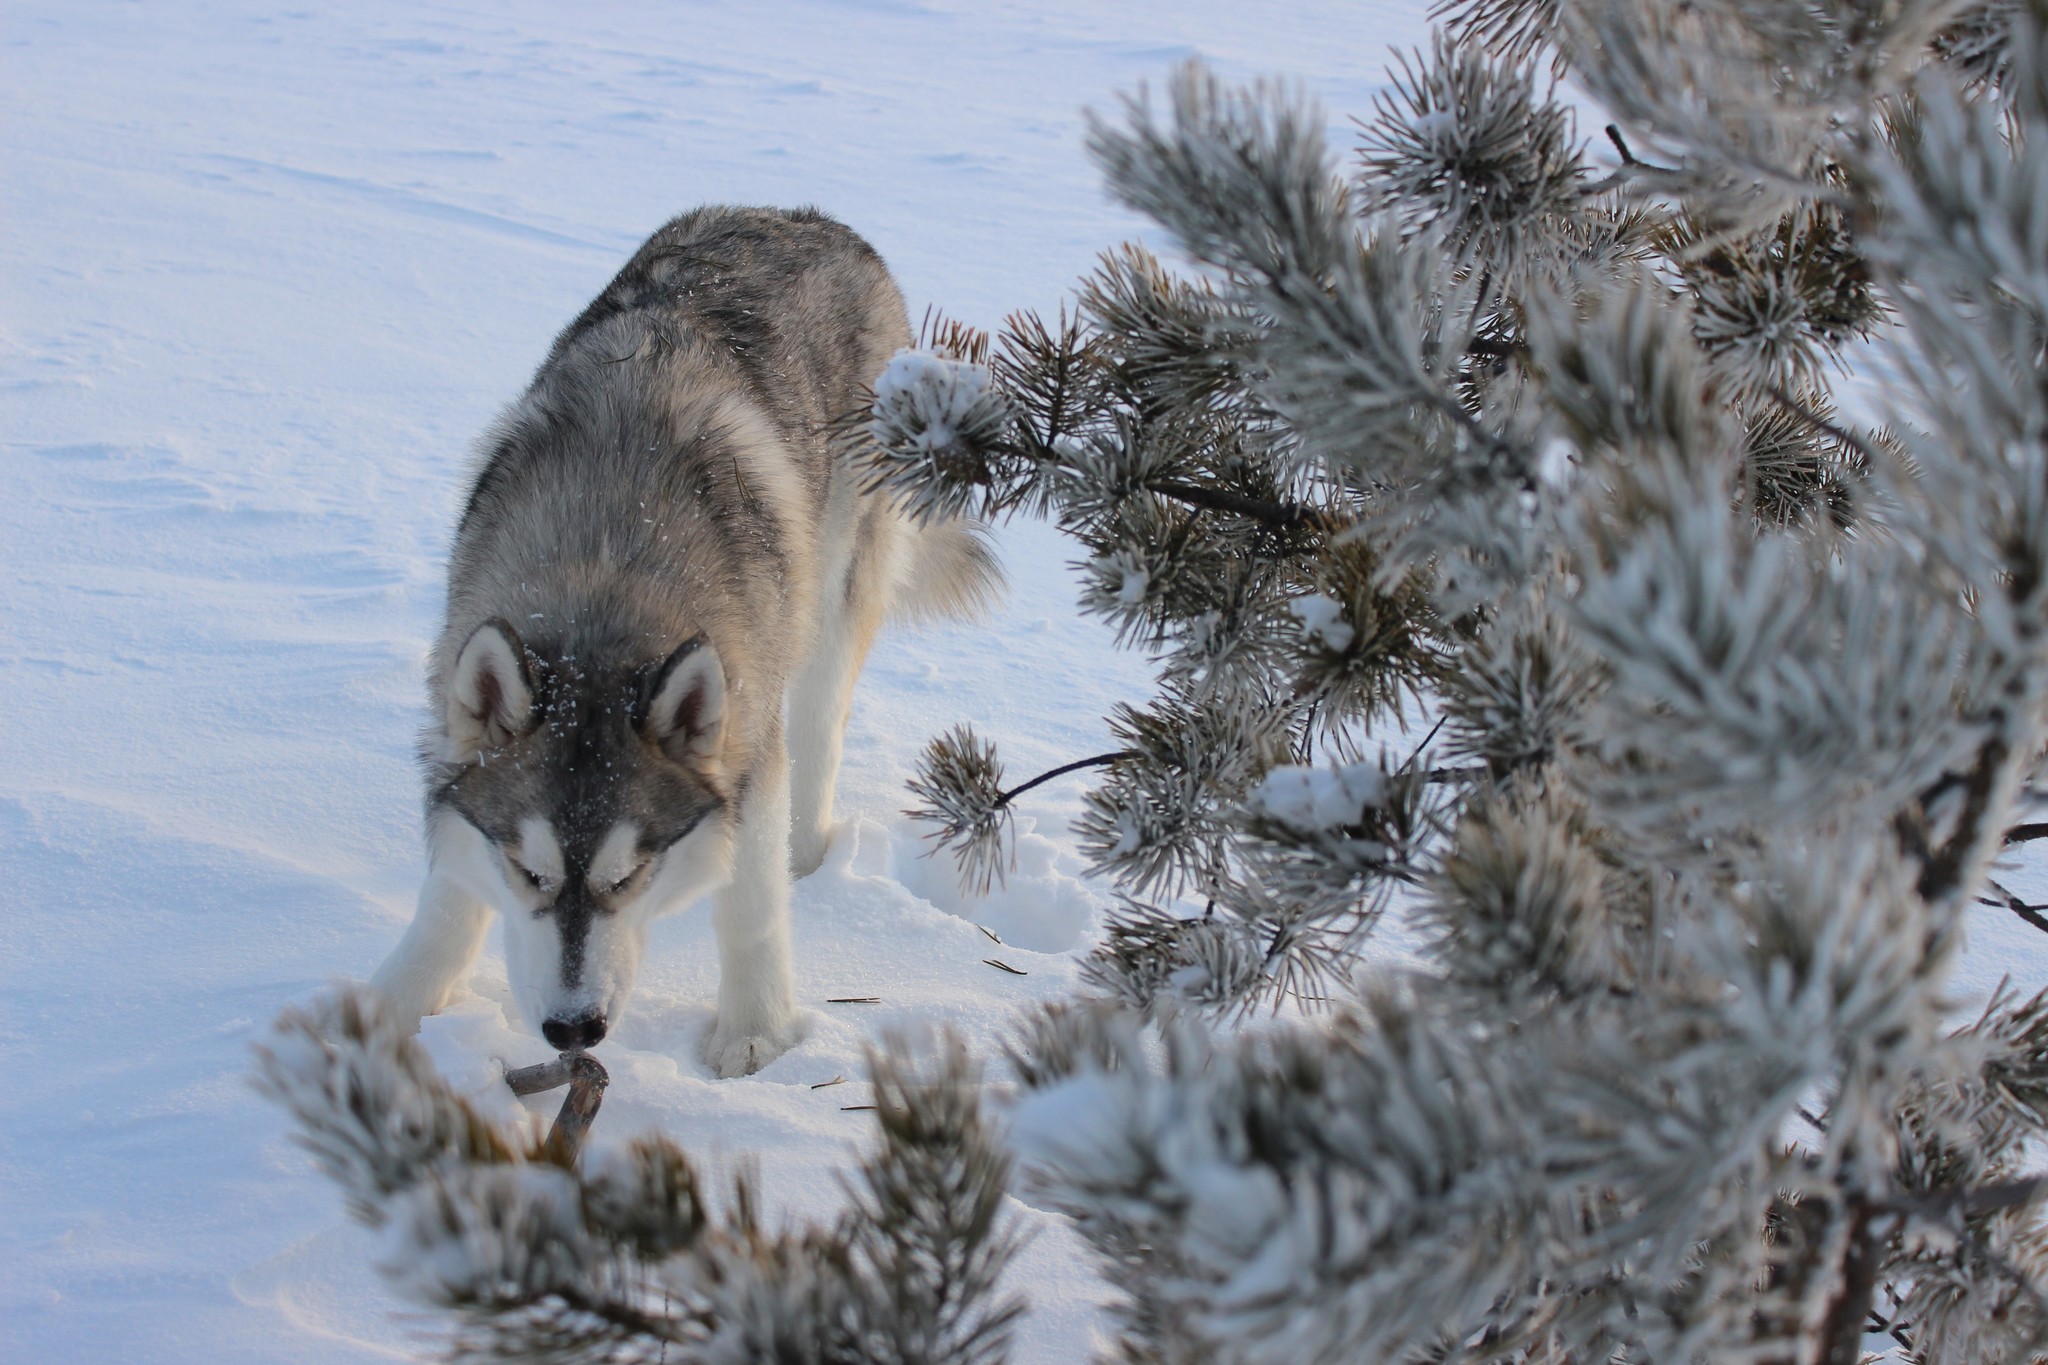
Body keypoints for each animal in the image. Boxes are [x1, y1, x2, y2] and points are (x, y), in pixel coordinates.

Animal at [378, 205, 1007, 1080]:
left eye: (631, 874)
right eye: (530, 871)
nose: (573, 1029)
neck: (606, 569)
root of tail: (812, 217)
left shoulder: (746, 751)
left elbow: (751, 907)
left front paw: (755, 1033)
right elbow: (450, 889)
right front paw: (393, 1005)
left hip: (833, 596)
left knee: (820, 727)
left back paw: (809, 856)